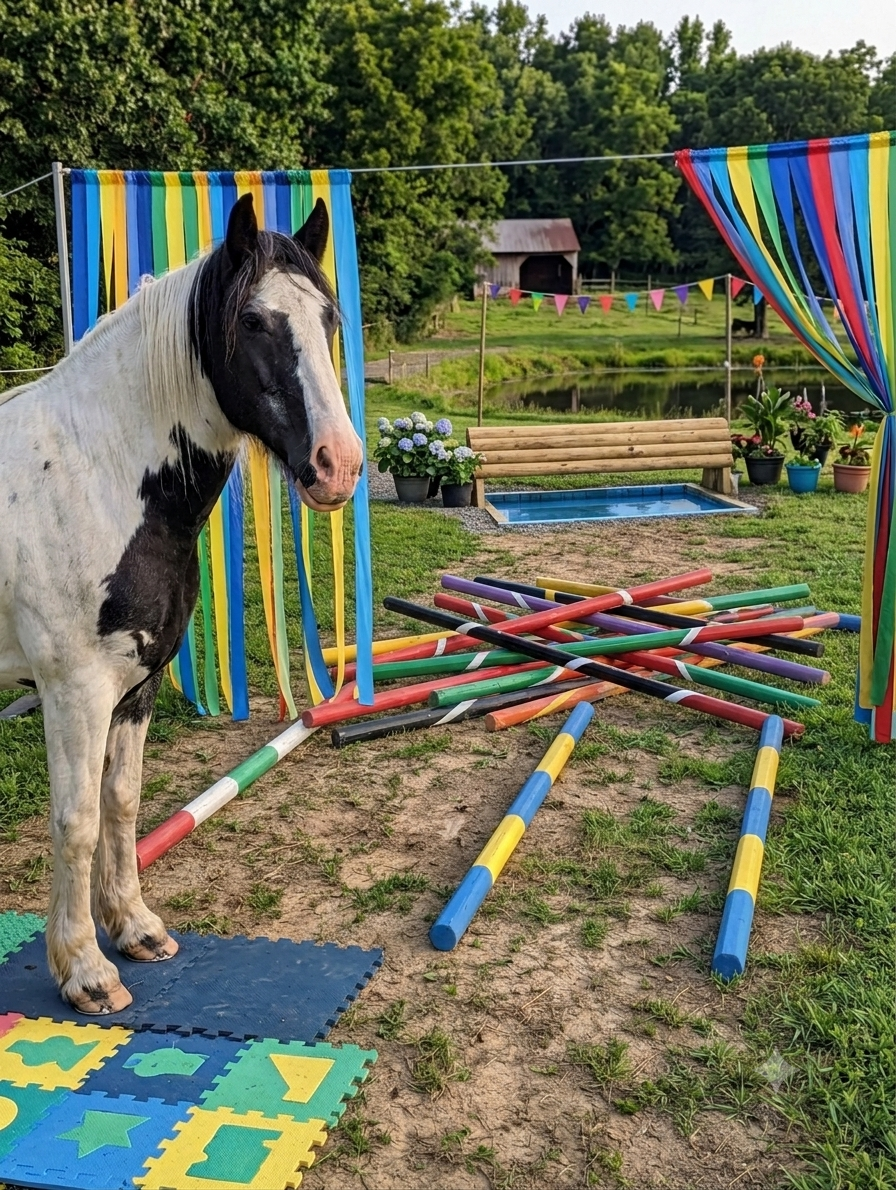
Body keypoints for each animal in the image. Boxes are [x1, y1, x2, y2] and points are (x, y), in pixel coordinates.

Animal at [0, 194, 363, 1014]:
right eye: (254, 321)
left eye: (328, 317)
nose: (339, 464)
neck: (95, 473)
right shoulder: (74, 691)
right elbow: (76, 821)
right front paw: (84, 971)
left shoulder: (136, 685)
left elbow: (122, 802)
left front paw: (134, 929)